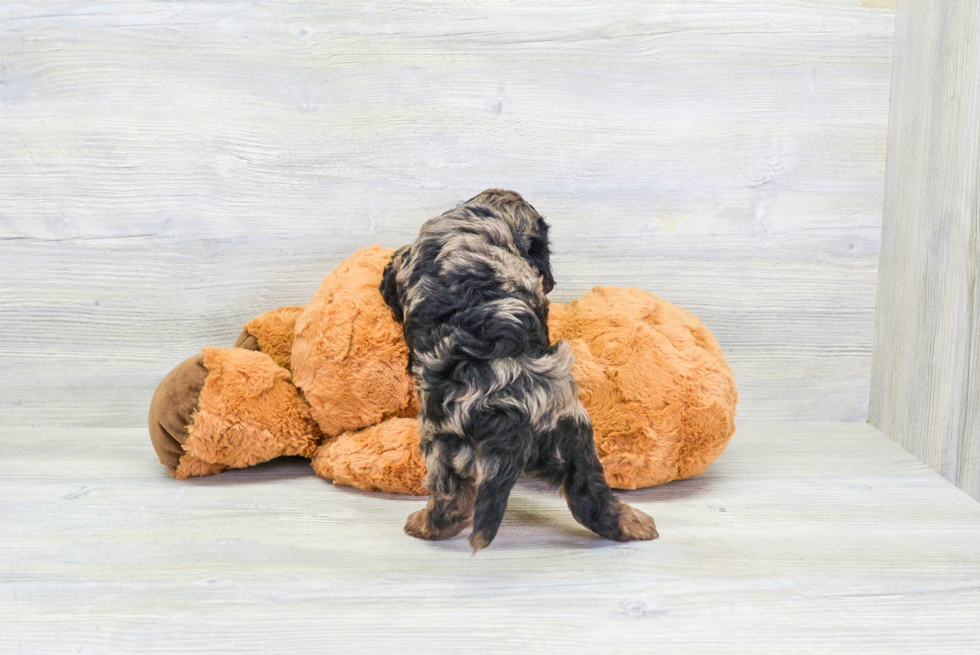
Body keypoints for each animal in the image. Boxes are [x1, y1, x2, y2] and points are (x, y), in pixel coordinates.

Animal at [382, 190, 660, 552]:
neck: (491, 219)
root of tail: (515, 419)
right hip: (575, 437)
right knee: (590, 495)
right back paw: (633, 524)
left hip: (443, 441)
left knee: (451, 497)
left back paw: (424, 525)